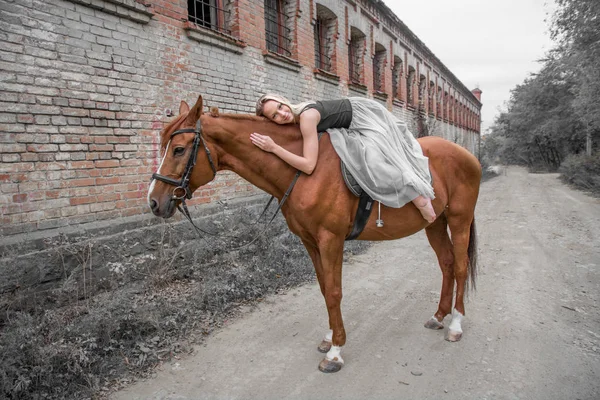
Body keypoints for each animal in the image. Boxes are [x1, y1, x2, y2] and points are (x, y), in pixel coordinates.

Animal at [148, 95, 480, 374]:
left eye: (179, 149)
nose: (154, 202)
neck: (308, 170)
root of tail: (467, 155)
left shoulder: (330, 239)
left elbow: (334, 292)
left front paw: (335, 353)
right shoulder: (310, 241)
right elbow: (323, 288)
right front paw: (329, 337)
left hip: (459, 220)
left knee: (460, 267)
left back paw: (456, 325)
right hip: (435, 223)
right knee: (447, 263)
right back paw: (438, 317)